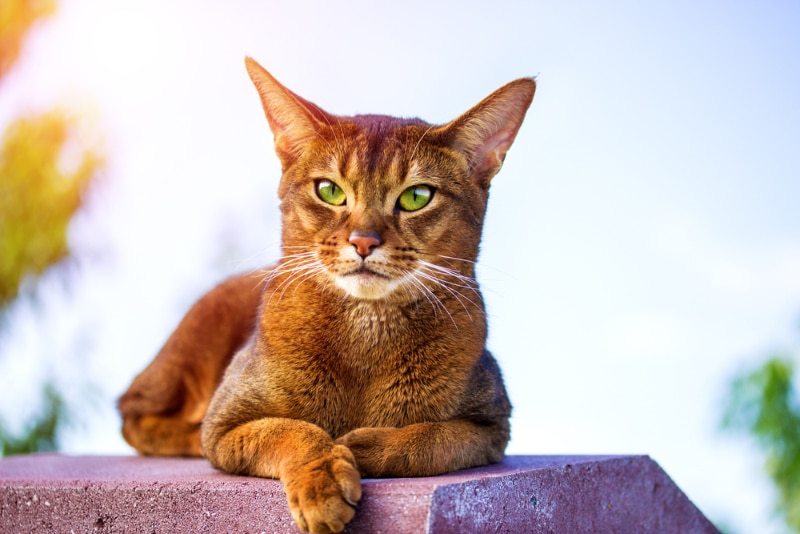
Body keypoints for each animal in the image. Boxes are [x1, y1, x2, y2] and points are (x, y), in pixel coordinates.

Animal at [119, 56, 536, 532]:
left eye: (417, 196)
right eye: (330, 190)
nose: (363, 242)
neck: (366, 331)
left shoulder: (493, 424)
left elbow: (432, 438)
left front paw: (362, 447)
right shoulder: (225, 422)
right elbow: (288, 429)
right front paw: (323, 479)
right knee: (133, 415)